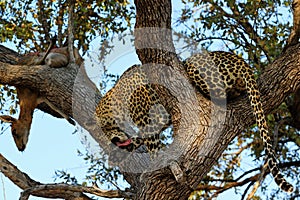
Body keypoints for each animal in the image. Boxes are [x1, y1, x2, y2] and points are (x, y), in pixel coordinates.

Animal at [95, 51, 292, 192]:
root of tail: (240, 60)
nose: (113, 140)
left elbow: (153, 148)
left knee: (217, 91)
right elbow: (141, 139)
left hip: (198, 68)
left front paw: (156, 168)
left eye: (106, 127)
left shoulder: (147, 118)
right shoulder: (160, 119)